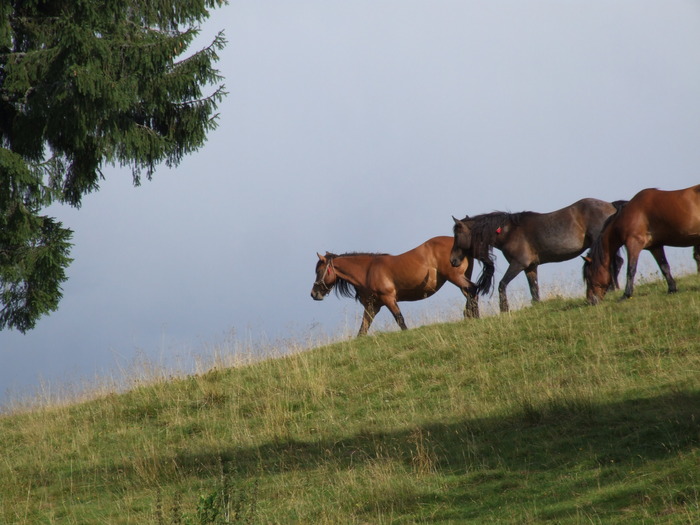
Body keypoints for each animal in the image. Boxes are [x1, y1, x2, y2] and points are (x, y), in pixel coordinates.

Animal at [314, 236, 482, 336]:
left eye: (318, 271)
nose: (314, 293)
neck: (368, 270)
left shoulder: (388, 298)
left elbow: (399, 319)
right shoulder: (372, 306)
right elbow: (363, 328)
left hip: (456, 277)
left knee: (472, 290)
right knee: (471, 294)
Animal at [452, 196, 628, 312]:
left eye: (457, 235)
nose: (452, 260)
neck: (509, 232)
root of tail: (611, 205)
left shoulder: (518, 264)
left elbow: (502, 284)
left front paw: (504, 308)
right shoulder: (530, 267)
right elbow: (534, 288)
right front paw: (536, 305)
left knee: (612, 263)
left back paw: (612, 288)